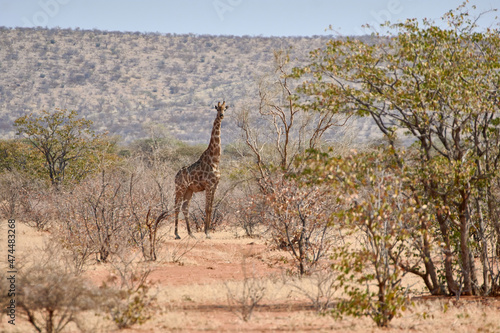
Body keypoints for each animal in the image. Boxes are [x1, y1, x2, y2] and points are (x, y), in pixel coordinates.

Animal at [172, 100, 227, 237]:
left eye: (225, 109)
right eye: (217, 109)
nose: (221, 115)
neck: (215, 160)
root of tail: (176, 175)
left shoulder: (215, 185)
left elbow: (211, 208)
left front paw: (208, 231)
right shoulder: (208, 185)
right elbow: (207, 208)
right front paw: (207, 232)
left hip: (189, 190)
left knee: (185, 208)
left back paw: (190, 233)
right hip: (180, 187)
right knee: (177, 207)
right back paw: (177, 234)